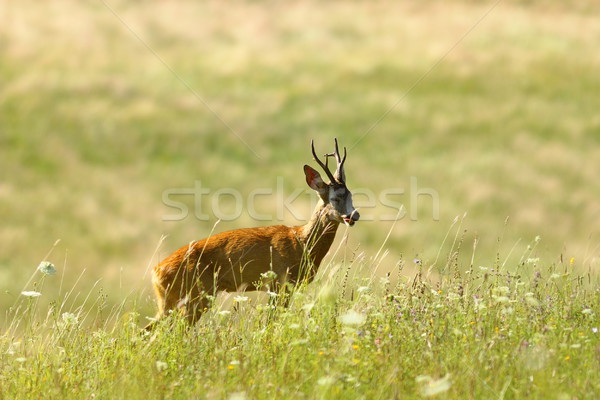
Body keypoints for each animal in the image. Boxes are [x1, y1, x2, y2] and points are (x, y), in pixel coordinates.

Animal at [147, 138, 358, 328]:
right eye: (335, 197)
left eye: (351, 195)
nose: (354, 215)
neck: (301, 242)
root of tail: (156, 272)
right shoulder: (280, 282)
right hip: (196, 295)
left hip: (172, 301)